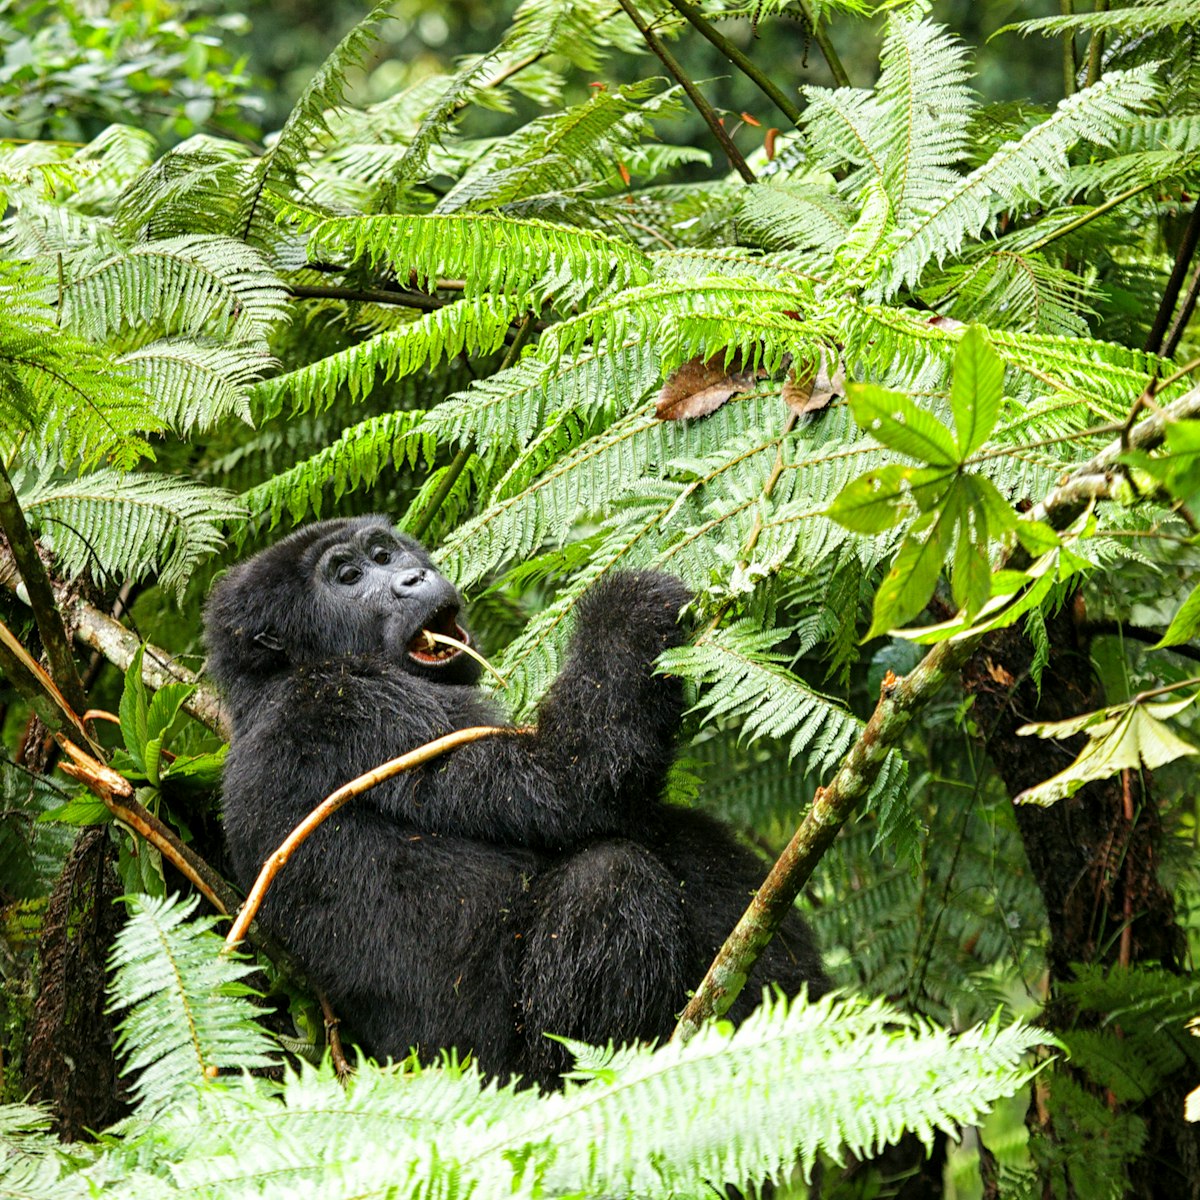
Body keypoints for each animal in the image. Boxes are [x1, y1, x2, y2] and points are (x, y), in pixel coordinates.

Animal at [206, 516, 825, 1089]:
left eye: (384, 554)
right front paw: (628, 604)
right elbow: (571, 779)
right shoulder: (349, 703)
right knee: (609, 875)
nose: (413, 578)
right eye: (349, 577)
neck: (271, 679)